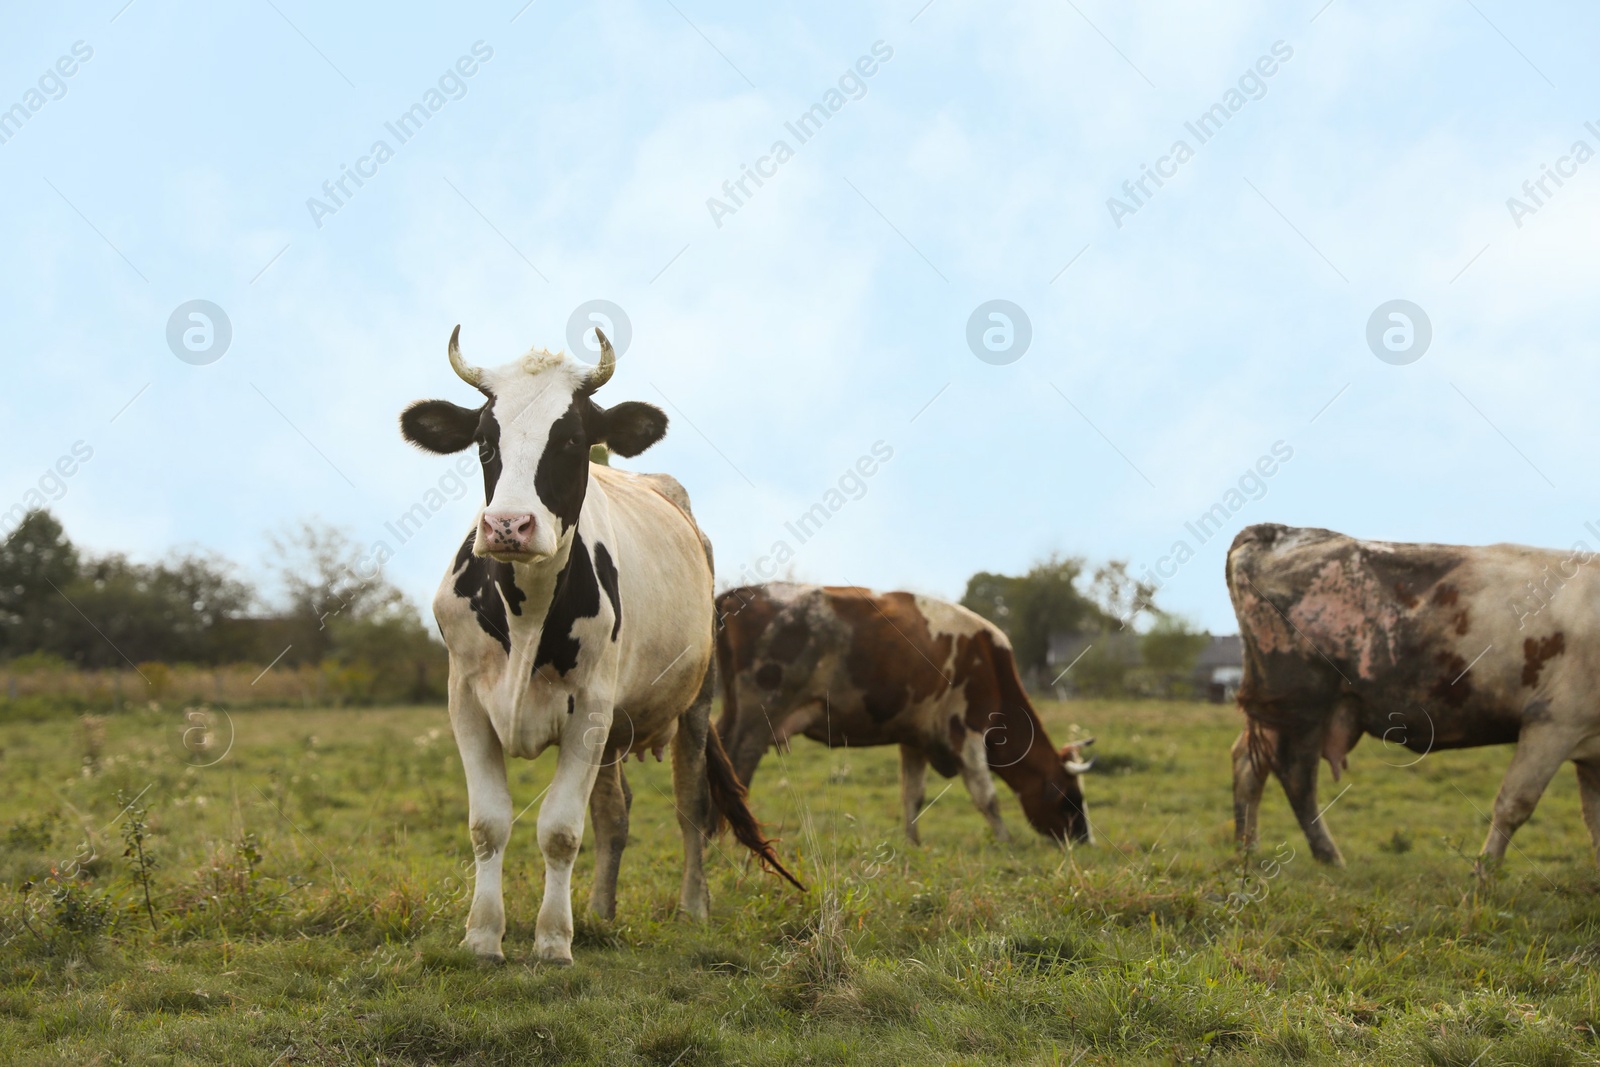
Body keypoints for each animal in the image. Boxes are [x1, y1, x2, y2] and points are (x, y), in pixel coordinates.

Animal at [400, 327, 800, 966]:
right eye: (485, 440)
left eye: (571, 439)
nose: (508, 526)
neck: (528, 611)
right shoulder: (466, 700)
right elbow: (489, 824)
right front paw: (483, 936)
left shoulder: (589, 707)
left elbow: (561, 830)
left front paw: (552, 941)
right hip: (616, 728)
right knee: (615, 811)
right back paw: (600, 911)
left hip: (694, 701)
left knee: (691, 804)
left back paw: (692, 906)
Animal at [720, 585, 1094, 844]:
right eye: (1071, 799)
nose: (1084, 840)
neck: (990, 662)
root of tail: (740, 593)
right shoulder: (968, 730)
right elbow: (987, 797)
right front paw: (1006, 842)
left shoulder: (915, 739)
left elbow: (912, 796)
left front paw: (912, 844)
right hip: (757, 719)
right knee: (737, 770)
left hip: (732, 715)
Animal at [1222, 524, 1600, 870]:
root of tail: (1274, 531)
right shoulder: (1553, 722)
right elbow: (1514, 805)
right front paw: (1484, 875)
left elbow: (1593, 819)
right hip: (1298, 706)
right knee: (1295, 778)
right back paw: (1328, 858)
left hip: (1280, 712)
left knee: (1248, 765)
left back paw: (1247, 854)